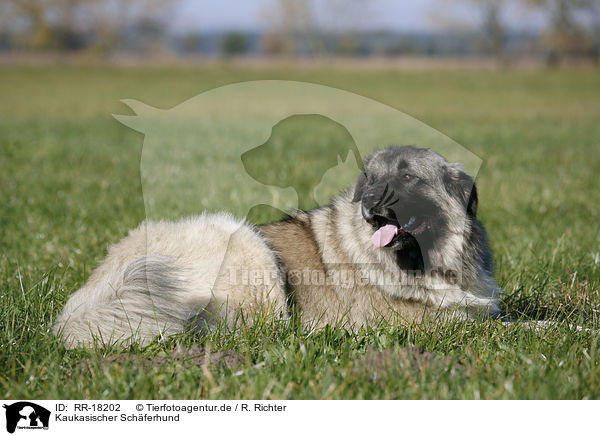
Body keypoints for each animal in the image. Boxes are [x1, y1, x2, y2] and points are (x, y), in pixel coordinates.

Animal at [54, 146, 502, 348]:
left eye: (408, 177)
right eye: (371, 179)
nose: (371, 202)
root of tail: (92, 296)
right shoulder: (427, 321)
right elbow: (499, 324)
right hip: (248, 245)